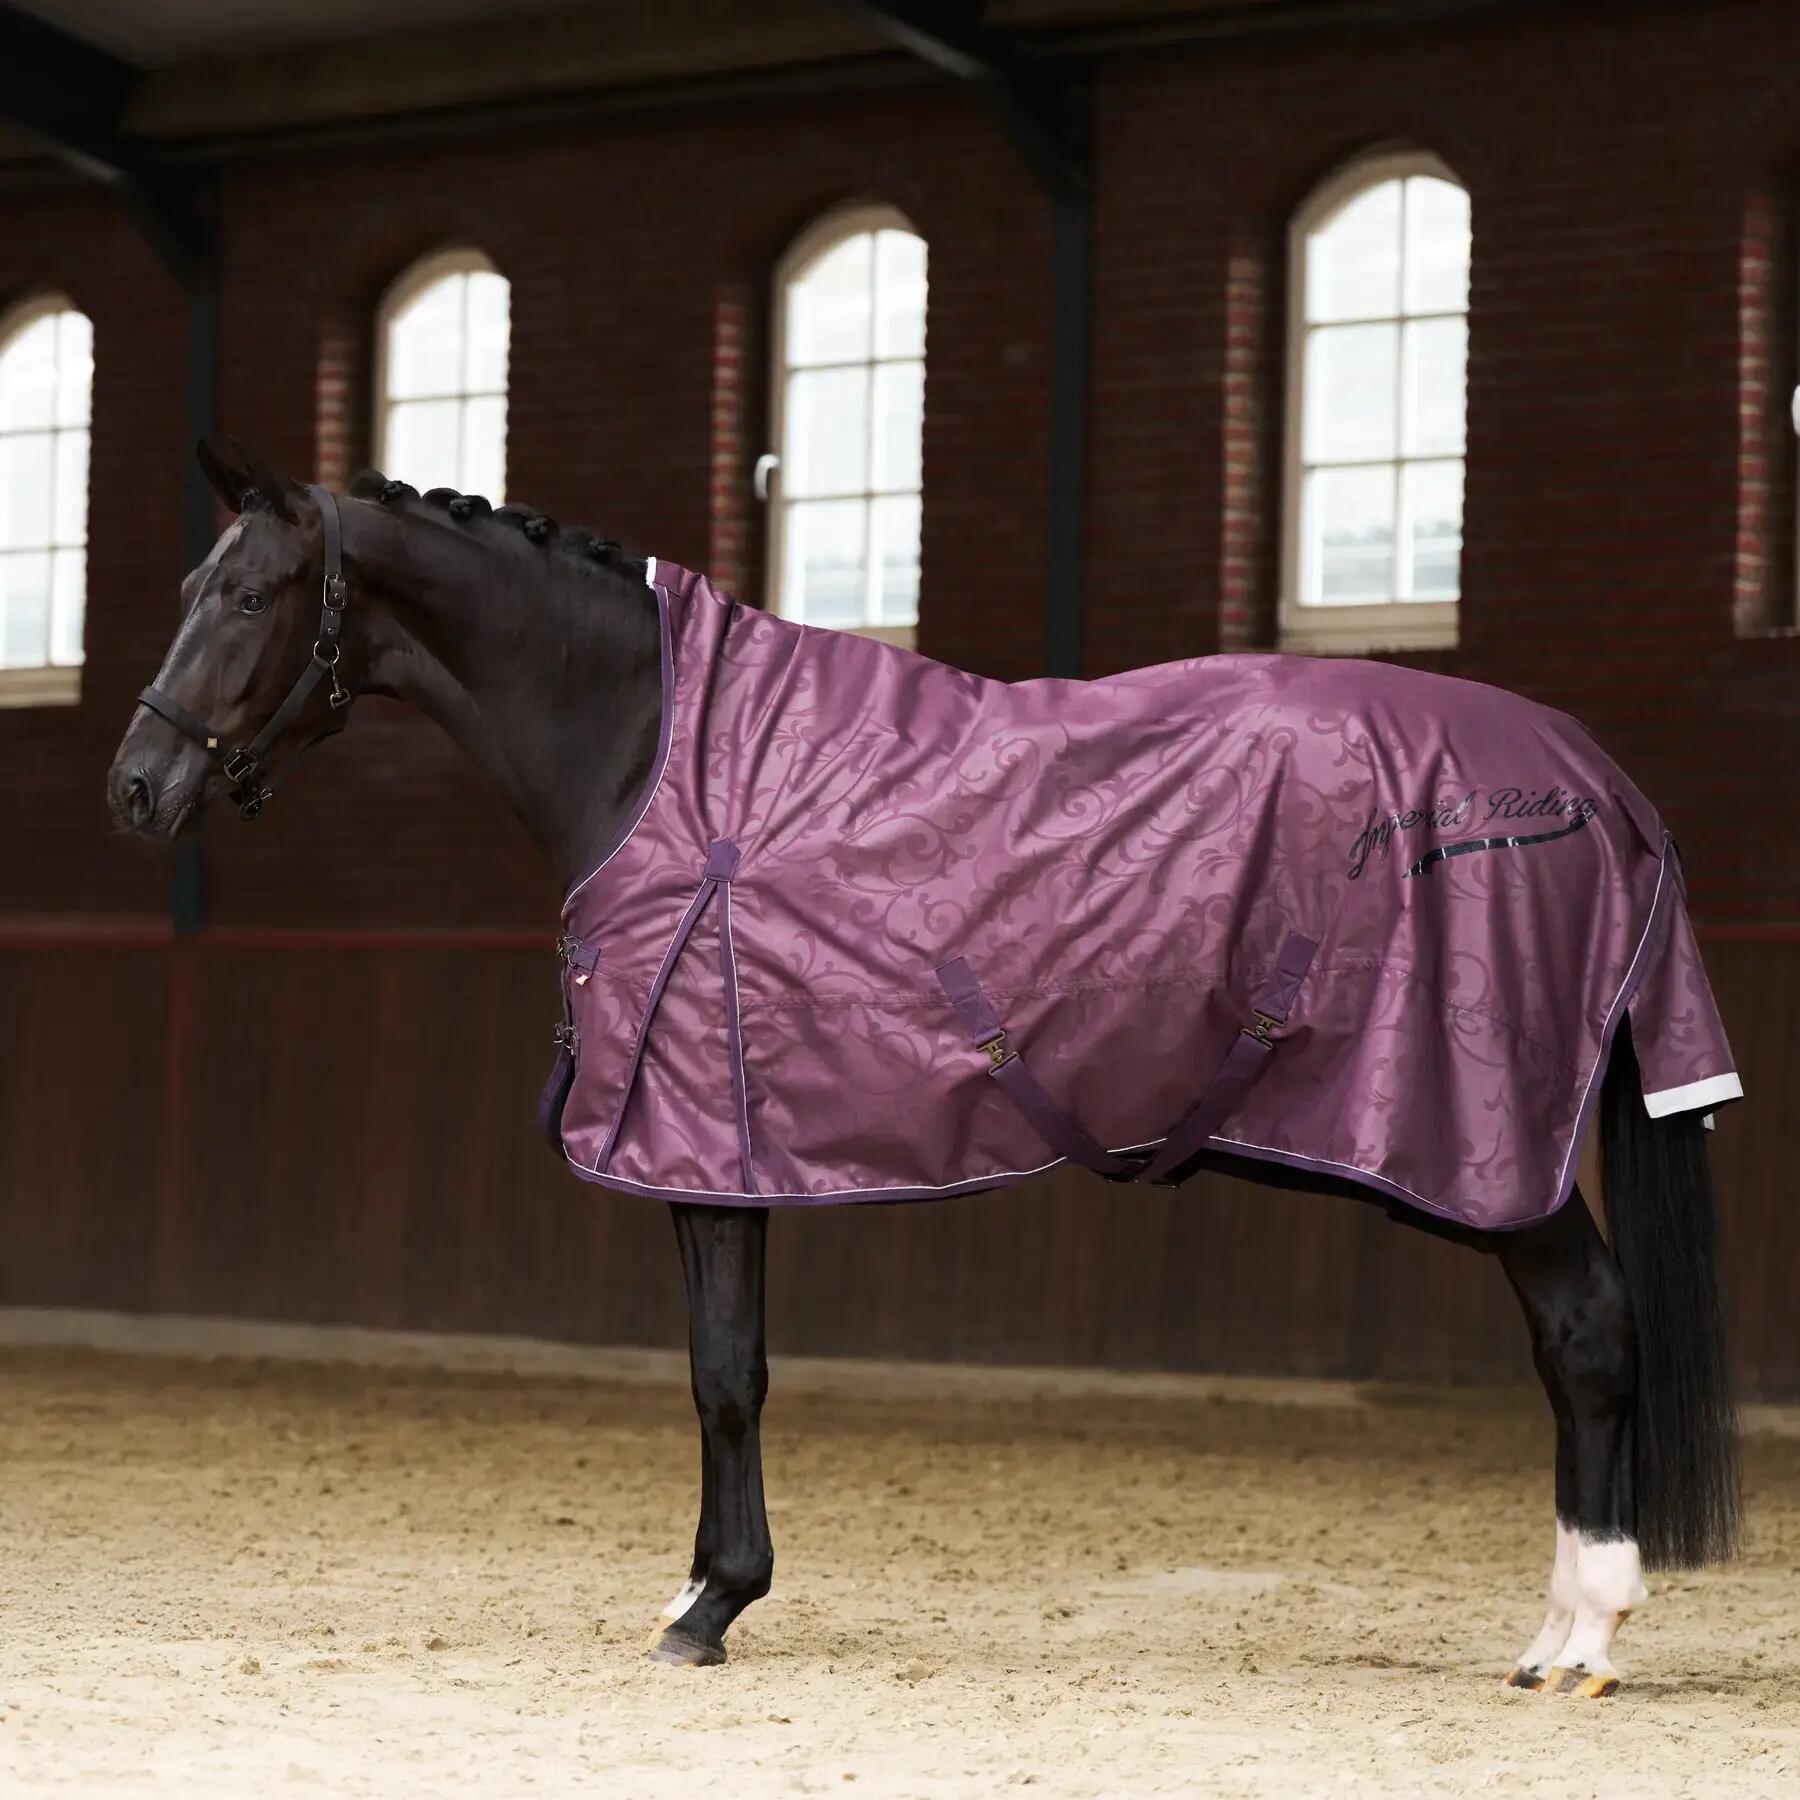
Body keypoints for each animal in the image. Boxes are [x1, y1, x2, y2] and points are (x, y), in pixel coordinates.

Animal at [107, 440, 1741, 1692]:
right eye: (189, 590)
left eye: (243, 594)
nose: (135, 787)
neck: (654, 756)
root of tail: (1592, 781)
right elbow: (721, 1372)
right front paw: (699, 1589)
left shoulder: (711, 1144)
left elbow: (726, 1376)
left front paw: (714, 1605)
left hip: (1489, 1152)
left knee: (1591, 1333)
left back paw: (1585, 1632)